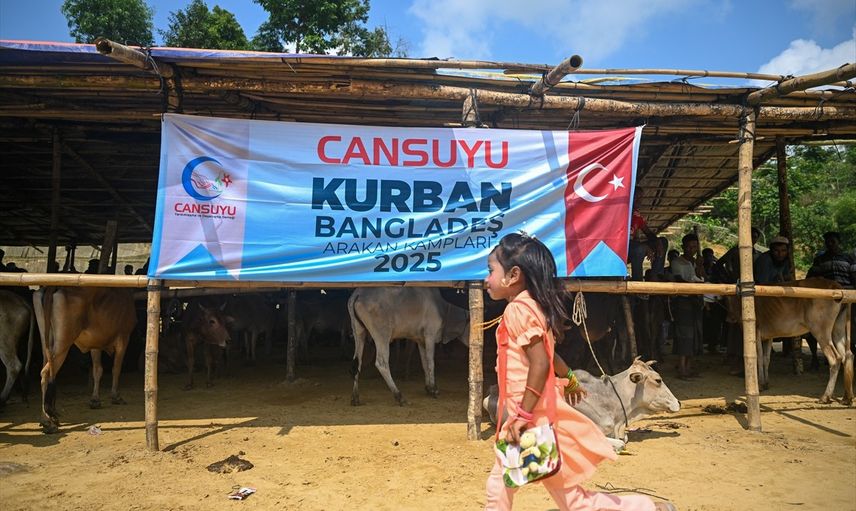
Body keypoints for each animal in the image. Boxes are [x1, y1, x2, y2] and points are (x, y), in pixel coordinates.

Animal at [31, 287, 136, 433]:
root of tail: (52, 287)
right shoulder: (123, 337)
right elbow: (116, 369)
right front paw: (116, 396)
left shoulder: (95, 343)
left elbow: (98, 370)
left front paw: (95, 400)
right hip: (64, 342)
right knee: (46, 373)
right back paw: (47, 422)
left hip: (46, 341)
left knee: (48, 370)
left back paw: (52, 416)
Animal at [725, 277, 853, 405]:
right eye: (727, 299)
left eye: (732, 299)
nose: (729, 318)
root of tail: (835, 285)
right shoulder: (768, 337)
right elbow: (766, 359)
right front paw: (766, 383)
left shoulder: (756, 332)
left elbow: (759, 358)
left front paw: (760, 384)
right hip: (838, 328)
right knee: (847, 355)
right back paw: (847, 397)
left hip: (820, 330)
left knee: (835, 358)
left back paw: (825, 397)